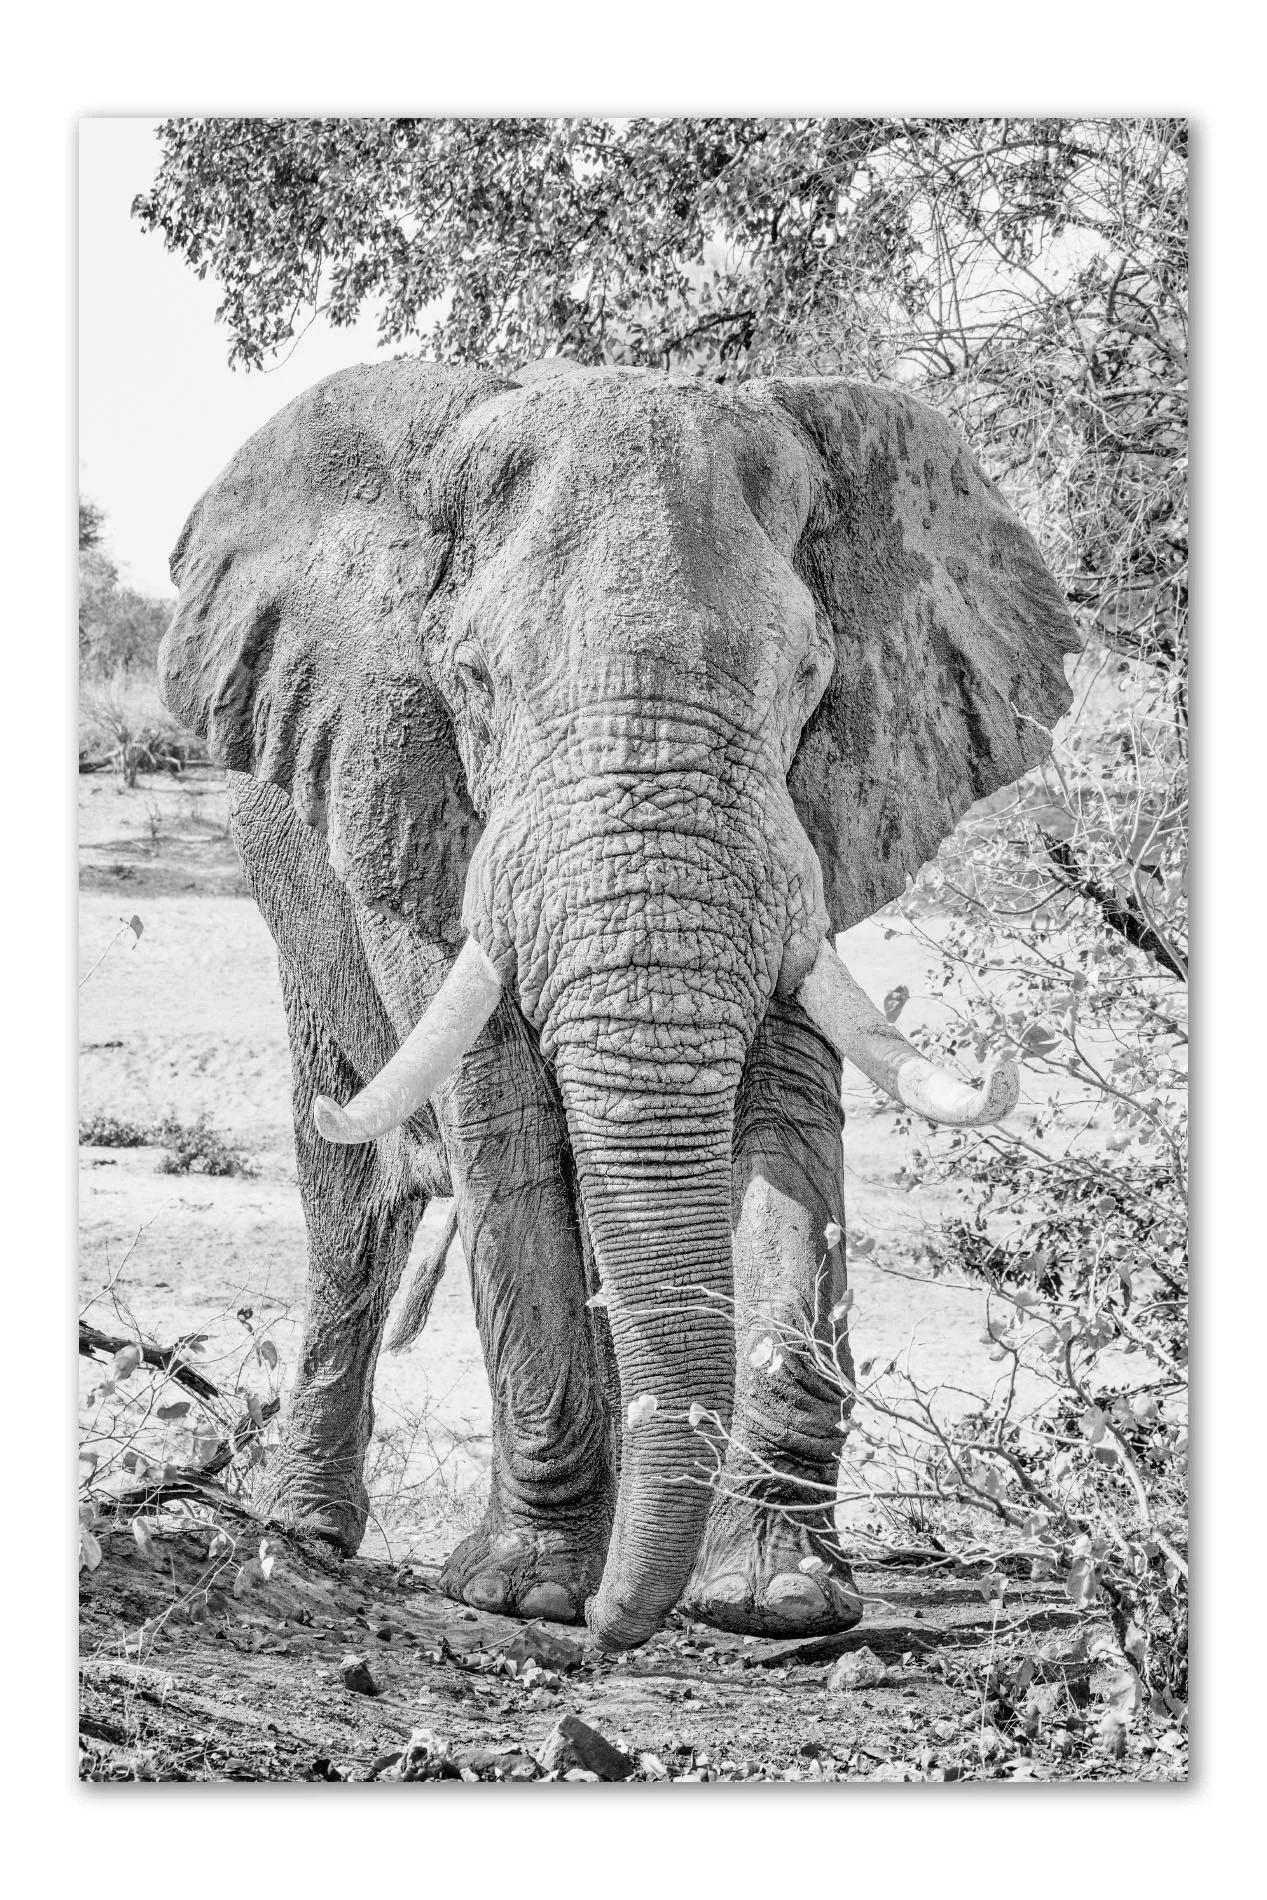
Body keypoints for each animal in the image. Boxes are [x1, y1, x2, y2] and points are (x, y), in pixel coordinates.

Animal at [159, 356, 1079, 1653]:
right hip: (291, 886)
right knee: (348, 1190)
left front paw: (776, 1601)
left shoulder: (805, 831)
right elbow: (501, 1121)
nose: (612, 1629)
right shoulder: (413, 792)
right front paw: (524, 1591)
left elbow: (787, 1116)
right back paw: (304, 1538)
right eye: (475, 682)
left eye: (807, 679)